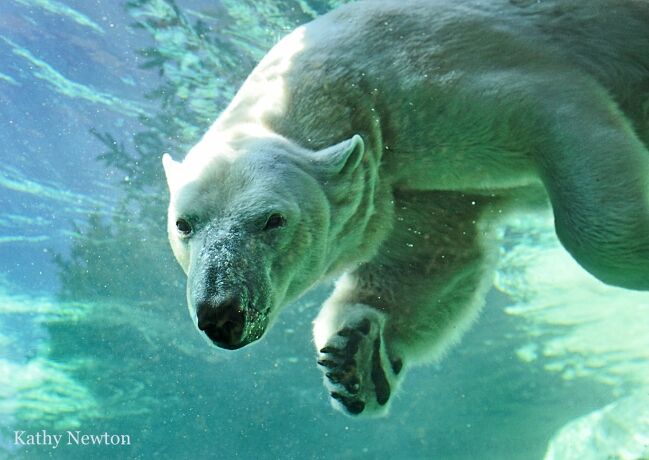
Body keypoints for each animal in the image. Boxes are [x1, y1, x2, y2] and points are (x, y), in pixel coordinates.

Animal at [162, 0, 649, 417]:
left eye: (273, 220)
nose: (220, 313)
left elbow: (555, 111)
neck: (346, 88)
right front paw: (358, 360)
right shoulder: (405, 184)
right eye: (184, 225)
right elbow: (436, 256)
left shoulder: (438, 76)